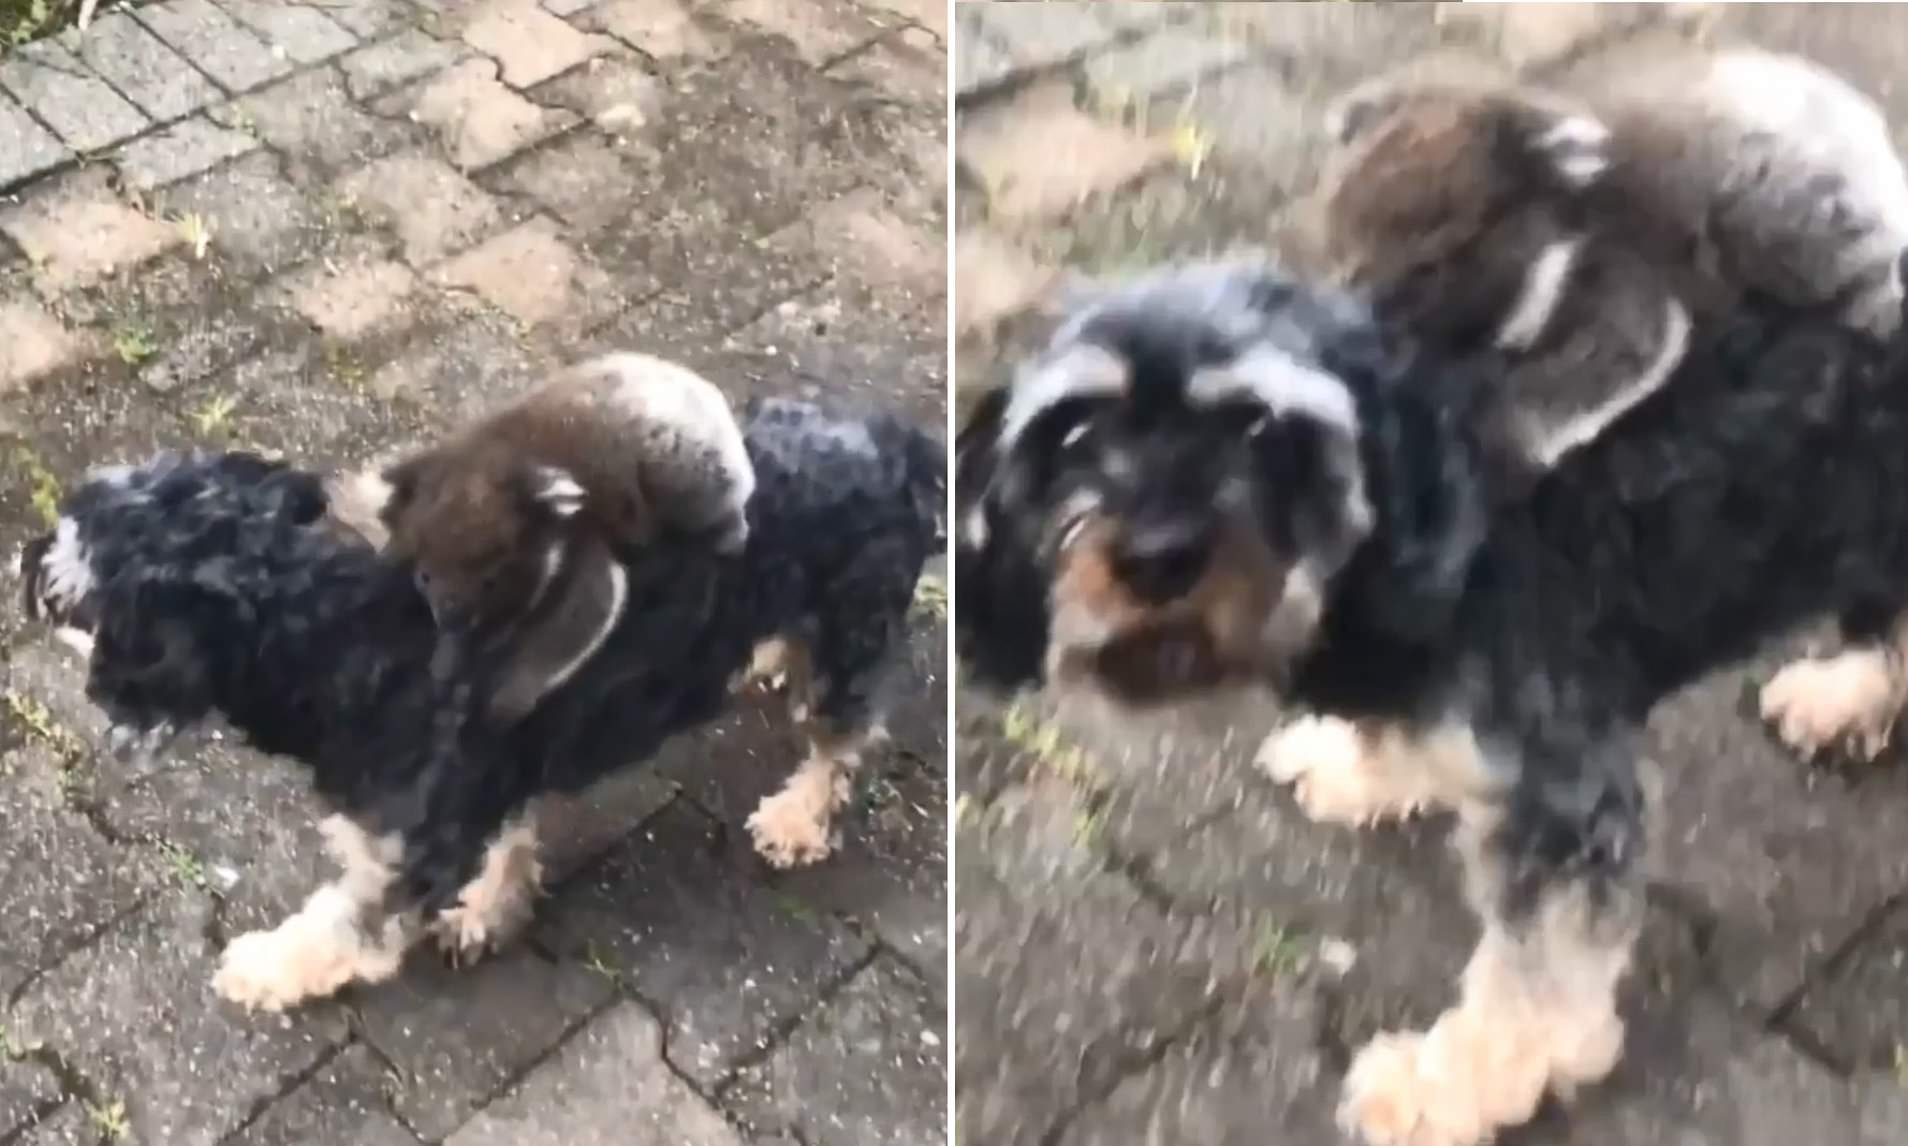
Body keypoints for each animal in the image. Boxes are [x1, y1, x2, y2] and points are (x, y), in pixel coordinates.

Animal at [14, 400, 938, 1006]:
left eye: (74, 590)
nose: (25, 561)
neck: (339, 625)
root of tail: (898, 441)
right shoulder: (492, 772)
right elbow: (509, 841)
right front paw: (491, 908)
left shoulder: (412, 843)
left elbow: (340, 925)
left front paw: (263, 968)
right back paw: (767, 657)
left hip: (853, 633)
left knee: (848, 736)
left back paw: (799, 817)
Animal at [961, 261, 1908, 1144]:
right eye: (1075, 429)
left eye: (1258, 424)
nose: (1158, 556)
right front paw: (1367, 767)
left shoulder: (1565, 798)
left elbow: (1531, 981)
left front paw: (1450, 1087)